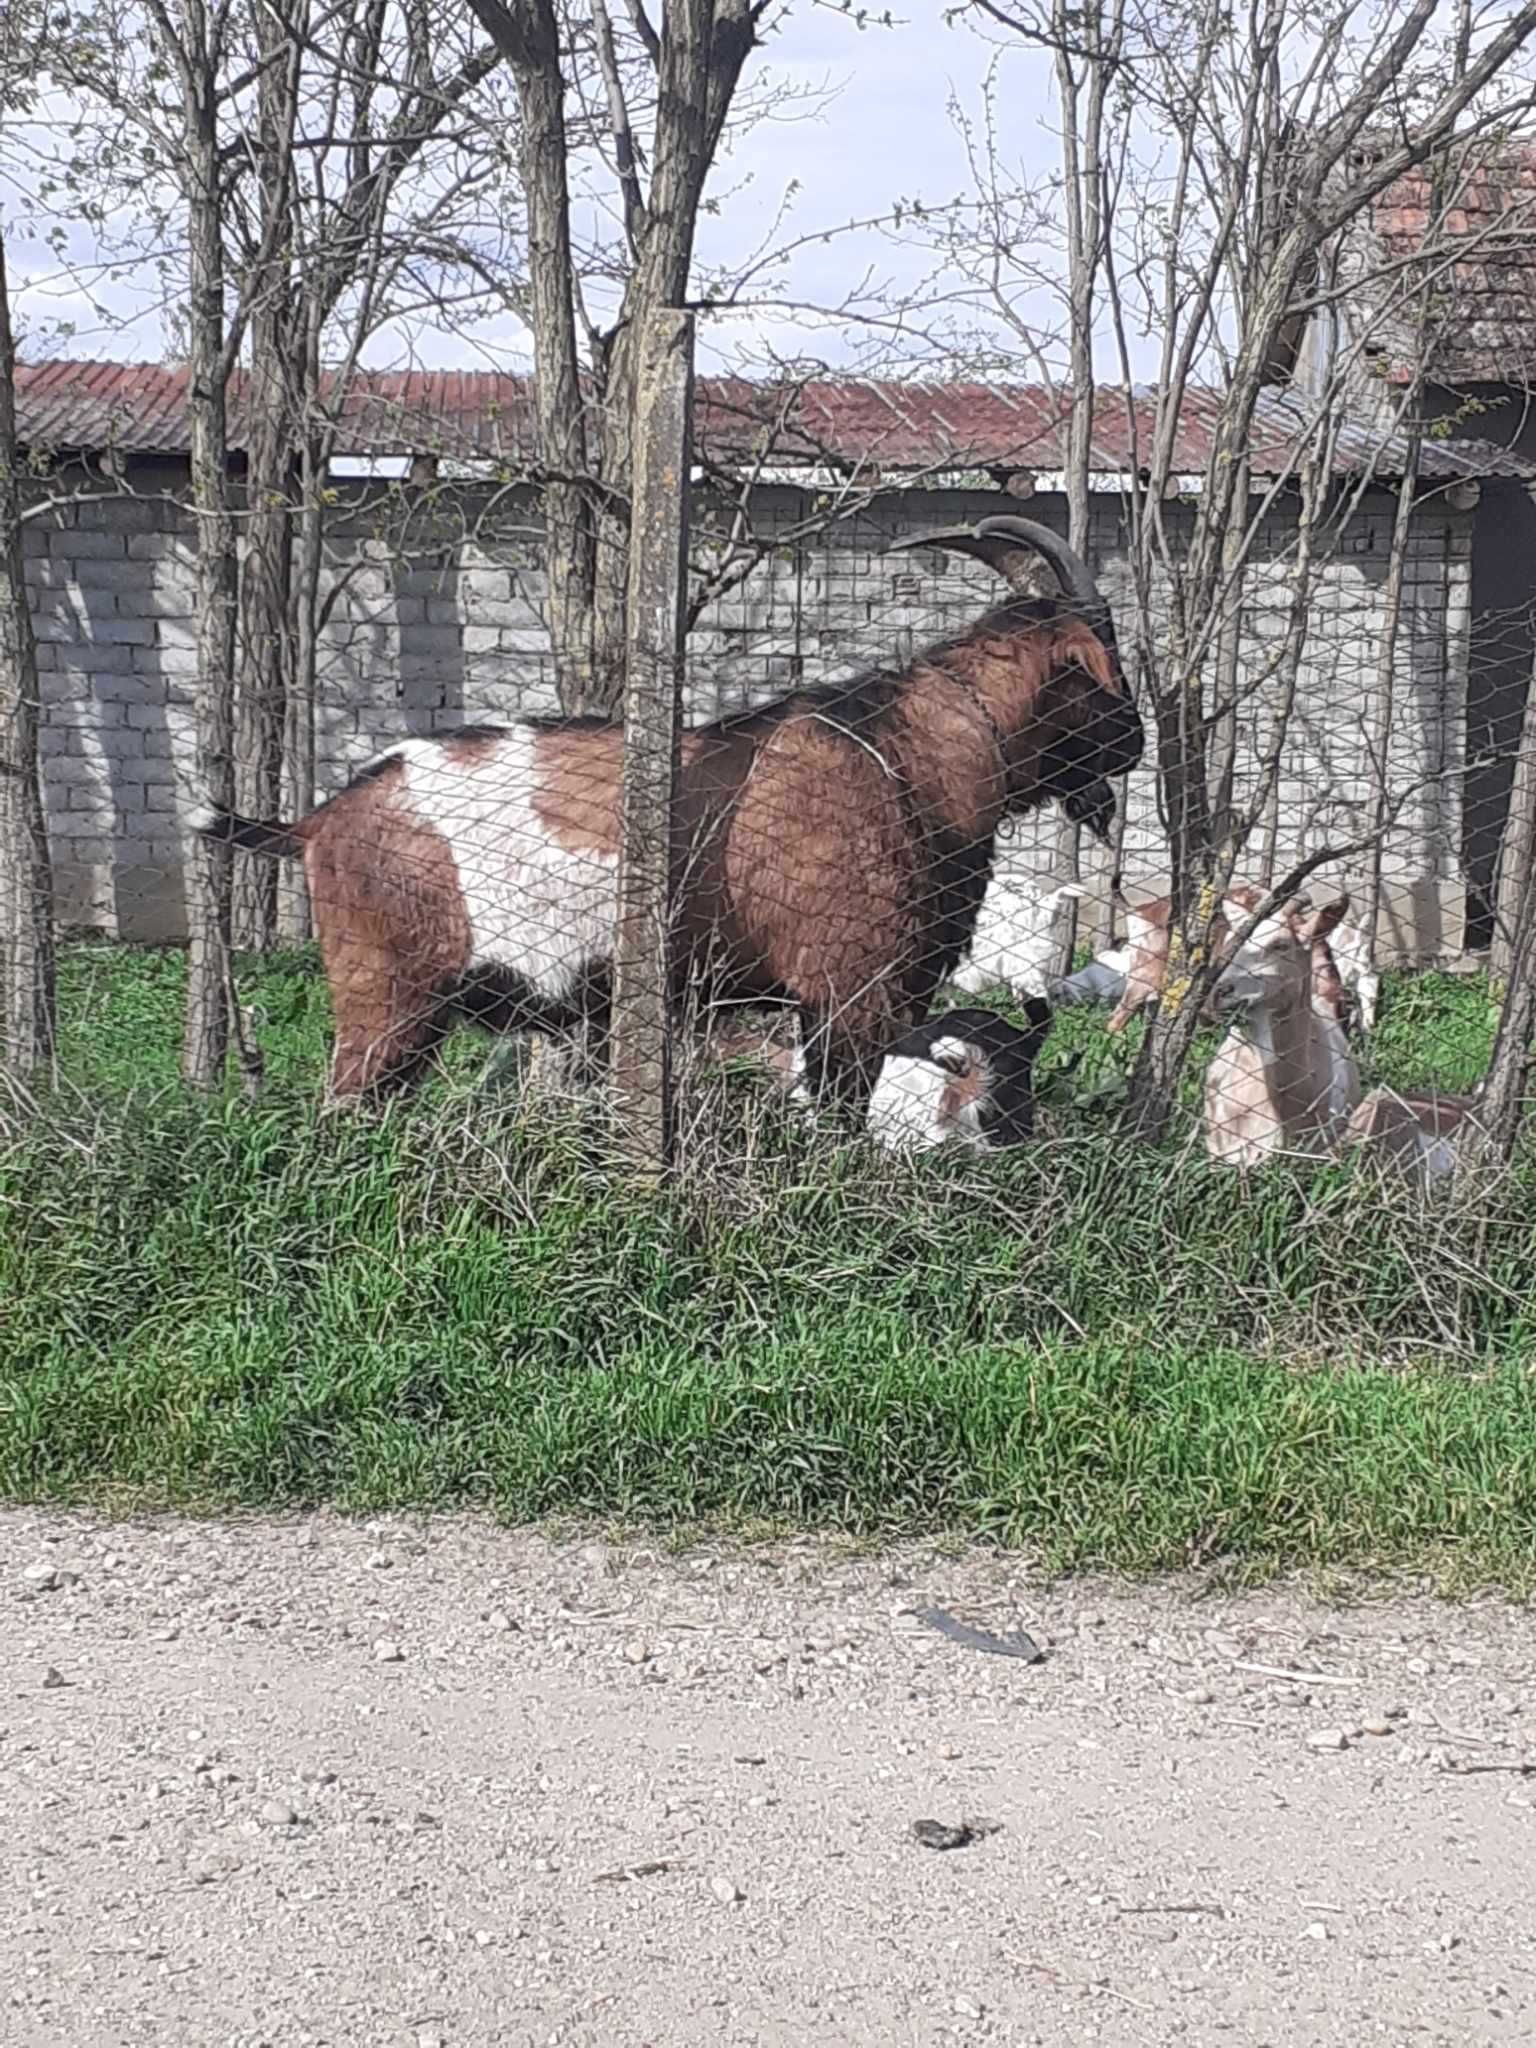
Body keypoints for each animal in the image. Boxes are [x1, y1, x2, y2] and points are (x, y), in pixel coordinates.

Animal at [192, 520, 1146, 1114]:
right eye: (1104, 666)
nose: (1136, 742)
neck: (901, 754)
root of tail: (318, 821)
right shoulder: (852, 993)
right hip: (387, 998)